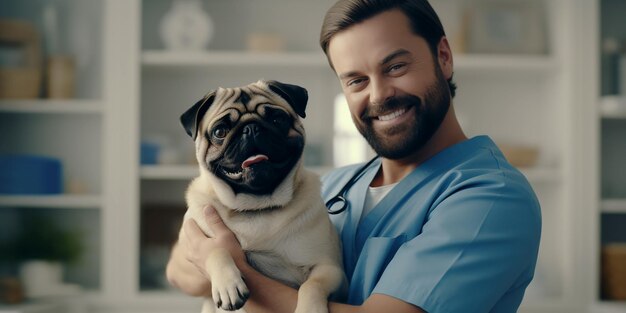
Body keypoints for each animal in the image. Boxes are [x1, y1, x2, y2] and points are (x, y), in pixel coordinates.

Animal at [177, 80, 342, 312]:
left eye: (277, 119)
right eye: (220, 131)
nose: (251, 128)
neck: (255, 207)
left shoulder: (329, 267)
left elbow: (312, 285)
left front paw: (309, 308)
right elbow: (216, 249)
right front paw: (228, 285)